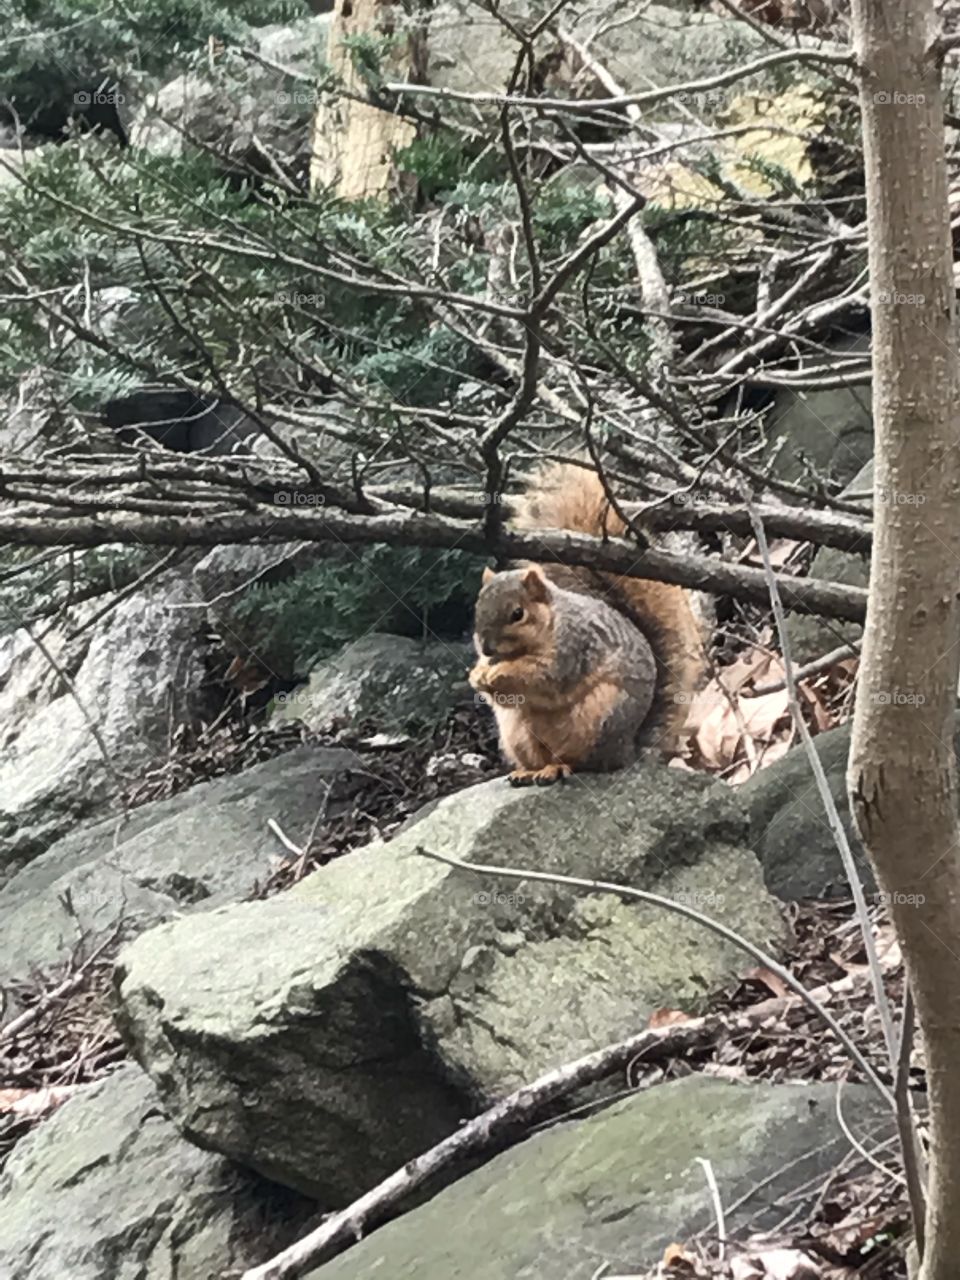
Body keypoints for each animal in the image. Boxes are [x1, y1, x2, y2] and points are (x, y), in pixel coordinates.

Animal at [468, 463, 705, 786]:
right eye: (477, 607)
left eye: (518, 614)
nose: (487, 648)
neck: (549, 624)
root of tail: (626, 752)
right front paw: (477, 674)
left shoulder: (573, 649)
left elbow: (543, 676)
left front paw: (499, 672)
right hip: (518, 735)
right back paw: (526, 771)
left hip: (596, 720)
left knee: (579, 762)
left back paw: (555, 769)